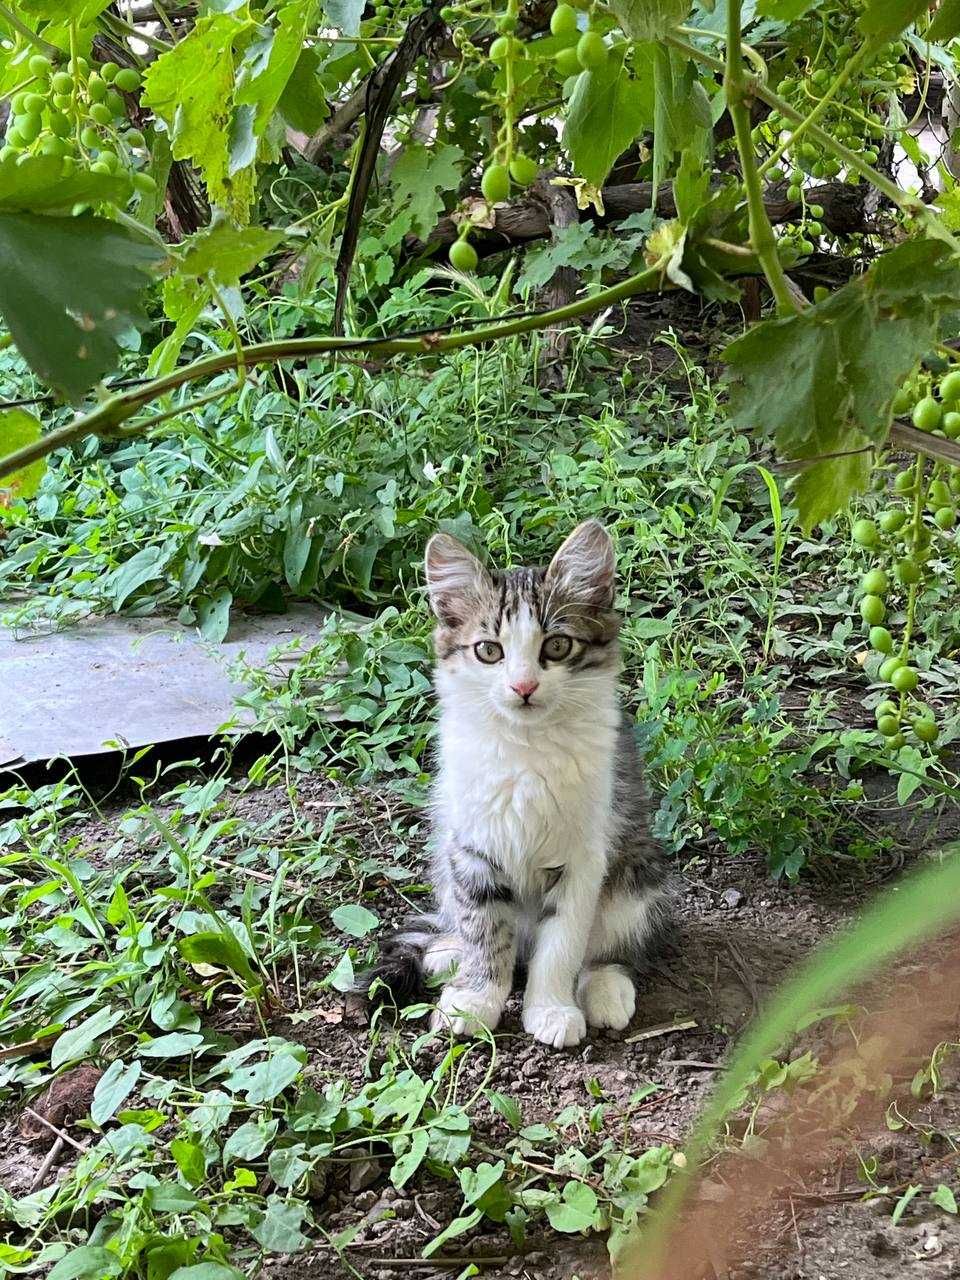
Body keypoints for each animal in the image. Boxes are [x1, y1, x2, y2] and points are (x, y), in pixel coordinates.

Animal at [368, 519, 670, 1049]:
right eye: (489, 651)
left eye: (557, 645)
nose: (523, 687)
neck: (526, 750)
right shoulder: (471, 846)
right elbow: (485, 934)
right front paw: (475, 1001)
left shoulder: (584, 857)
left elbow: (562, 945)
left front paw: (550, 1009)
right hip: (444, 858)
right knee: (463, 924)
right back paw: (448, 952)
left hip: (638, 876)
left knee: (612, 947)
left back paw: (607, 989)